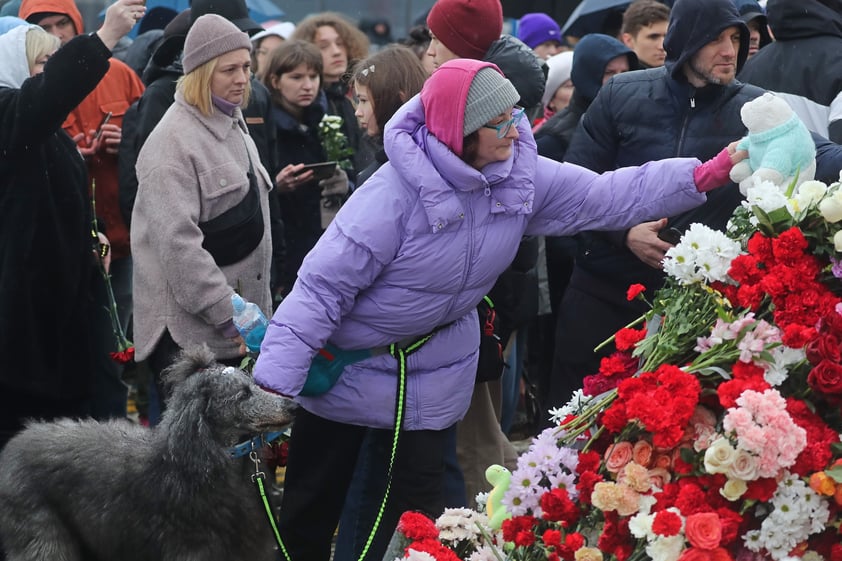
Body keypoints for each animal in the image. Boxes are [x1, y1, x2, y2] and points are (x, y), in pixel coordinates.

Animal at [0, 346, 298, 560]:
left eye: (254, 386)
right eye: (243, 395)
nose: (293, 406)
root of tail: (13, 446)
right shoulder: (193, 549)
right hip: (42, 536)